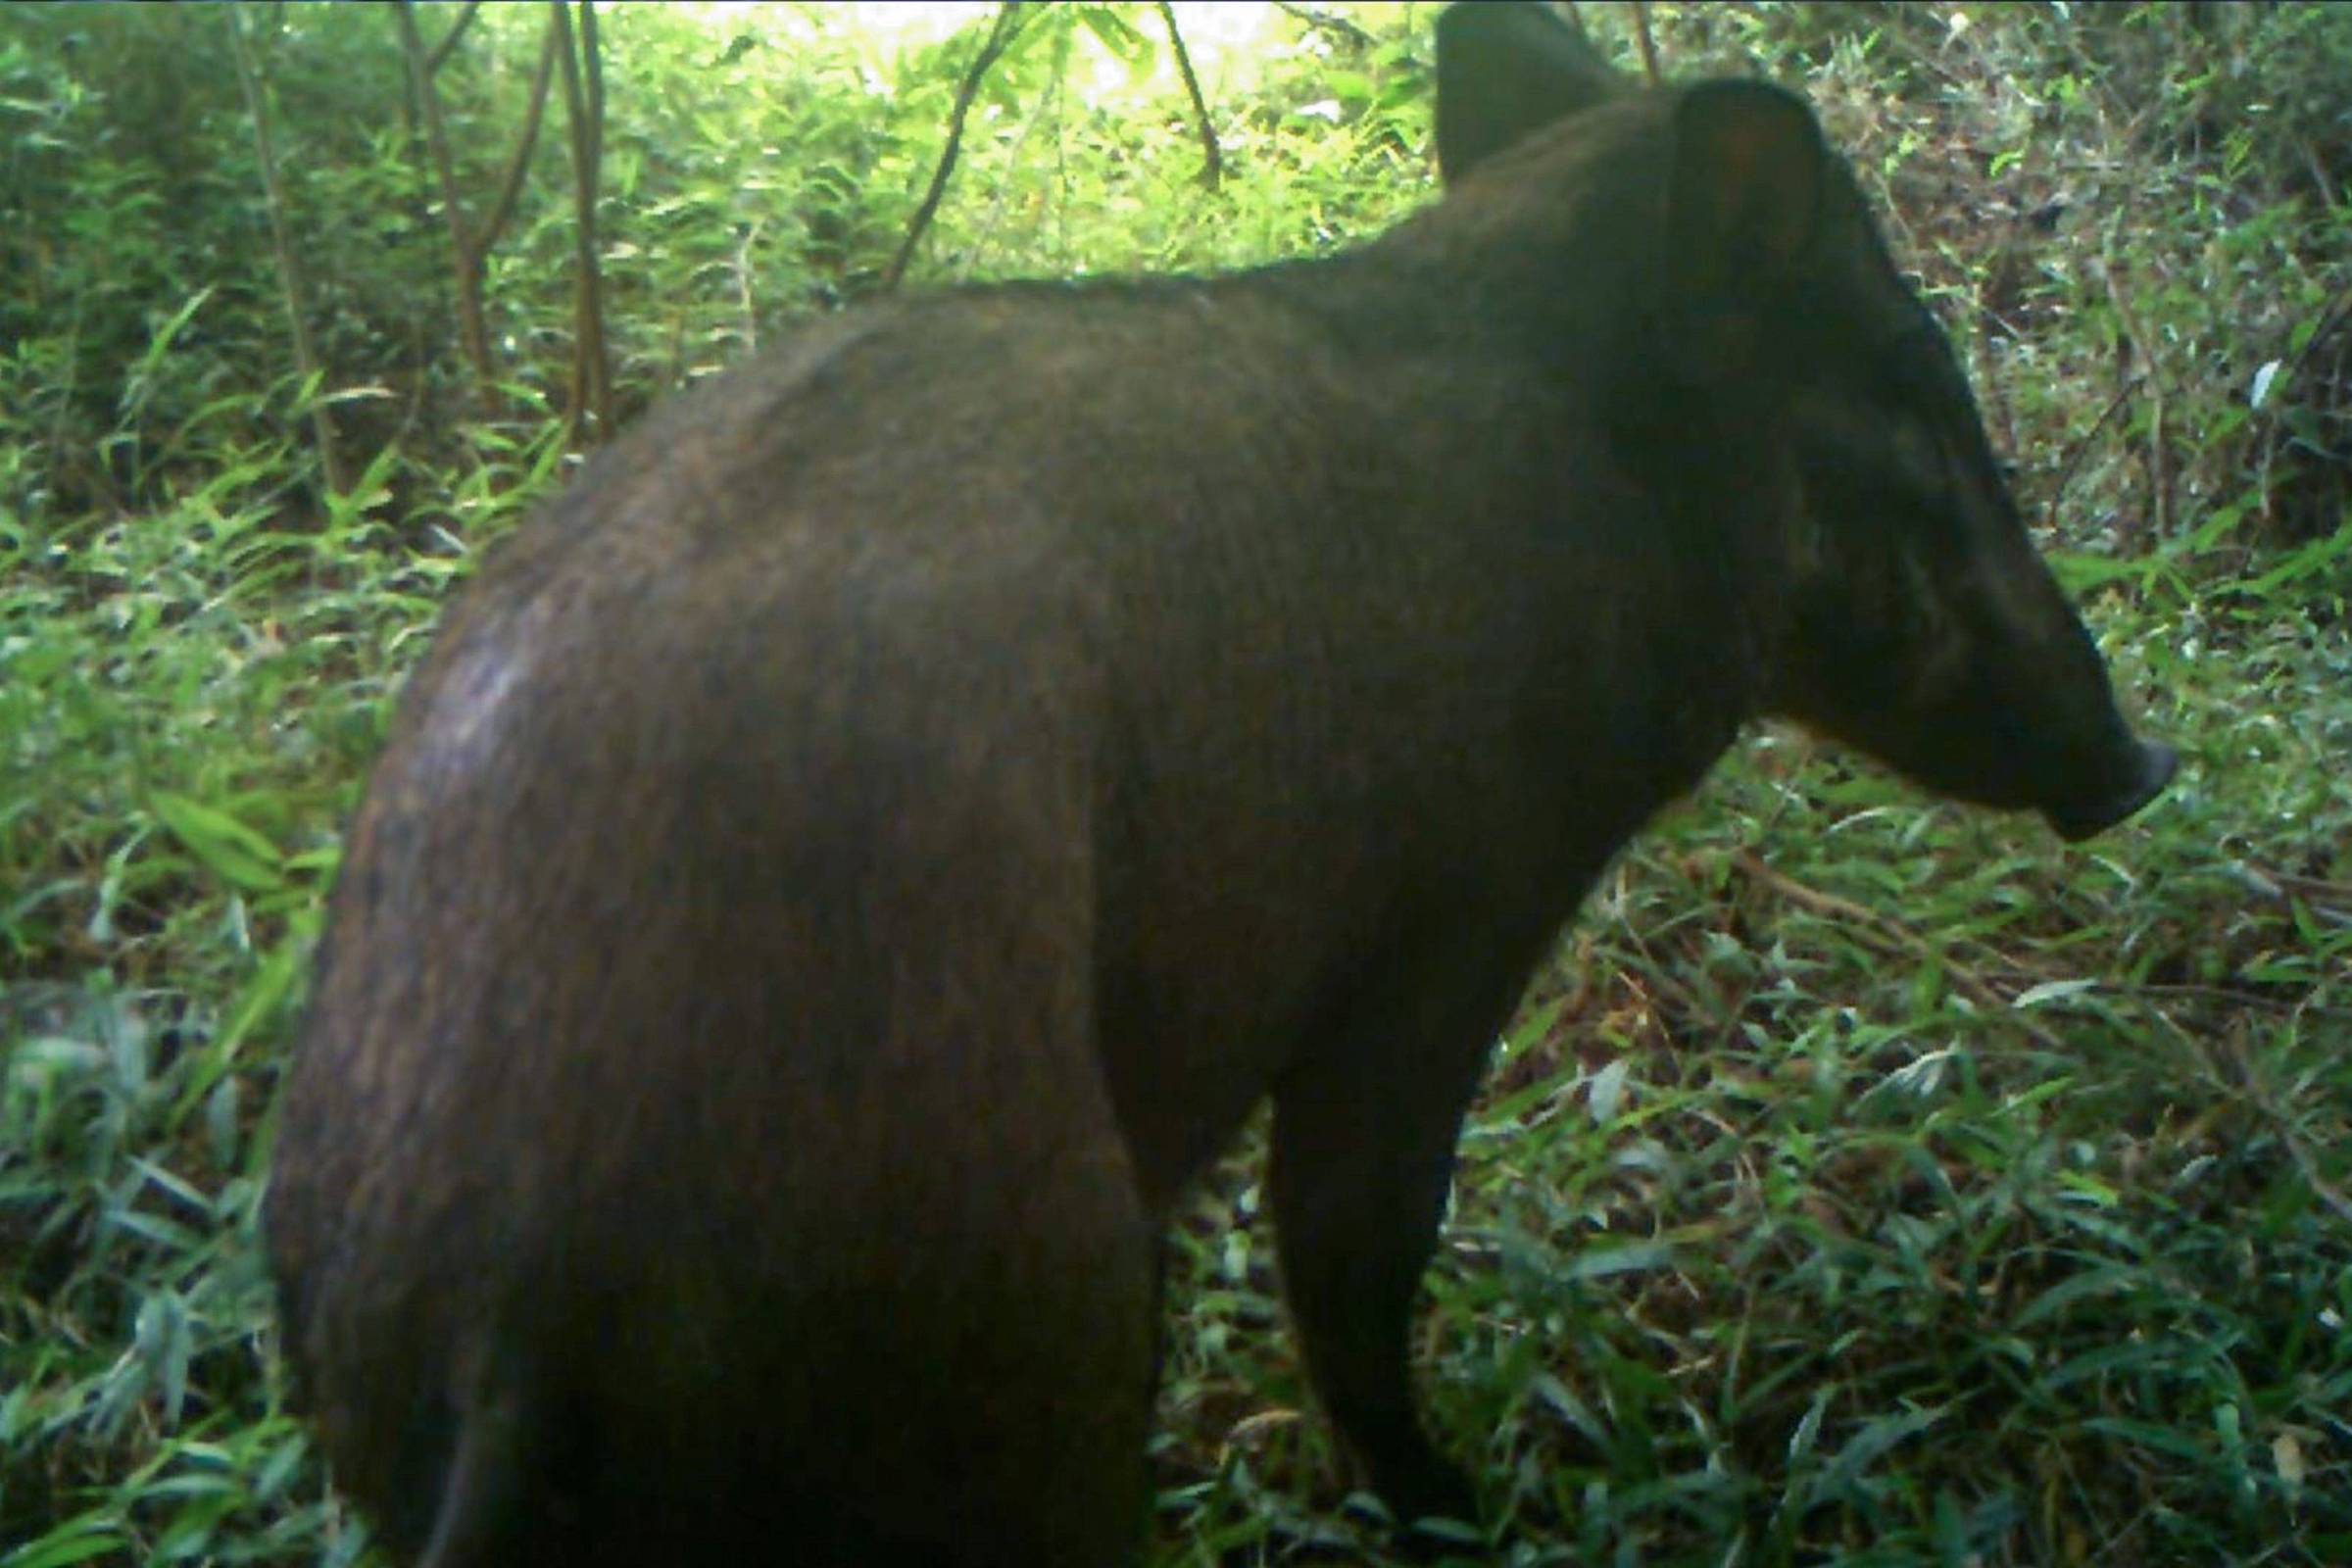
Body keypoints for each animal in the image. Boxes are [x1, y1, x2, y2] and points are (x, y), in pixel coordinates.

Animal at [267, 6, 2173, 1560]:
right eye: (1915, 384)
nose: (2143, 761)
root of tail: (514, 1309)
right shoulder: (1454, 908)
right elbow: (1354, 1239)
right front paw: (1464, 1517)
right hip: (1031, 1307)